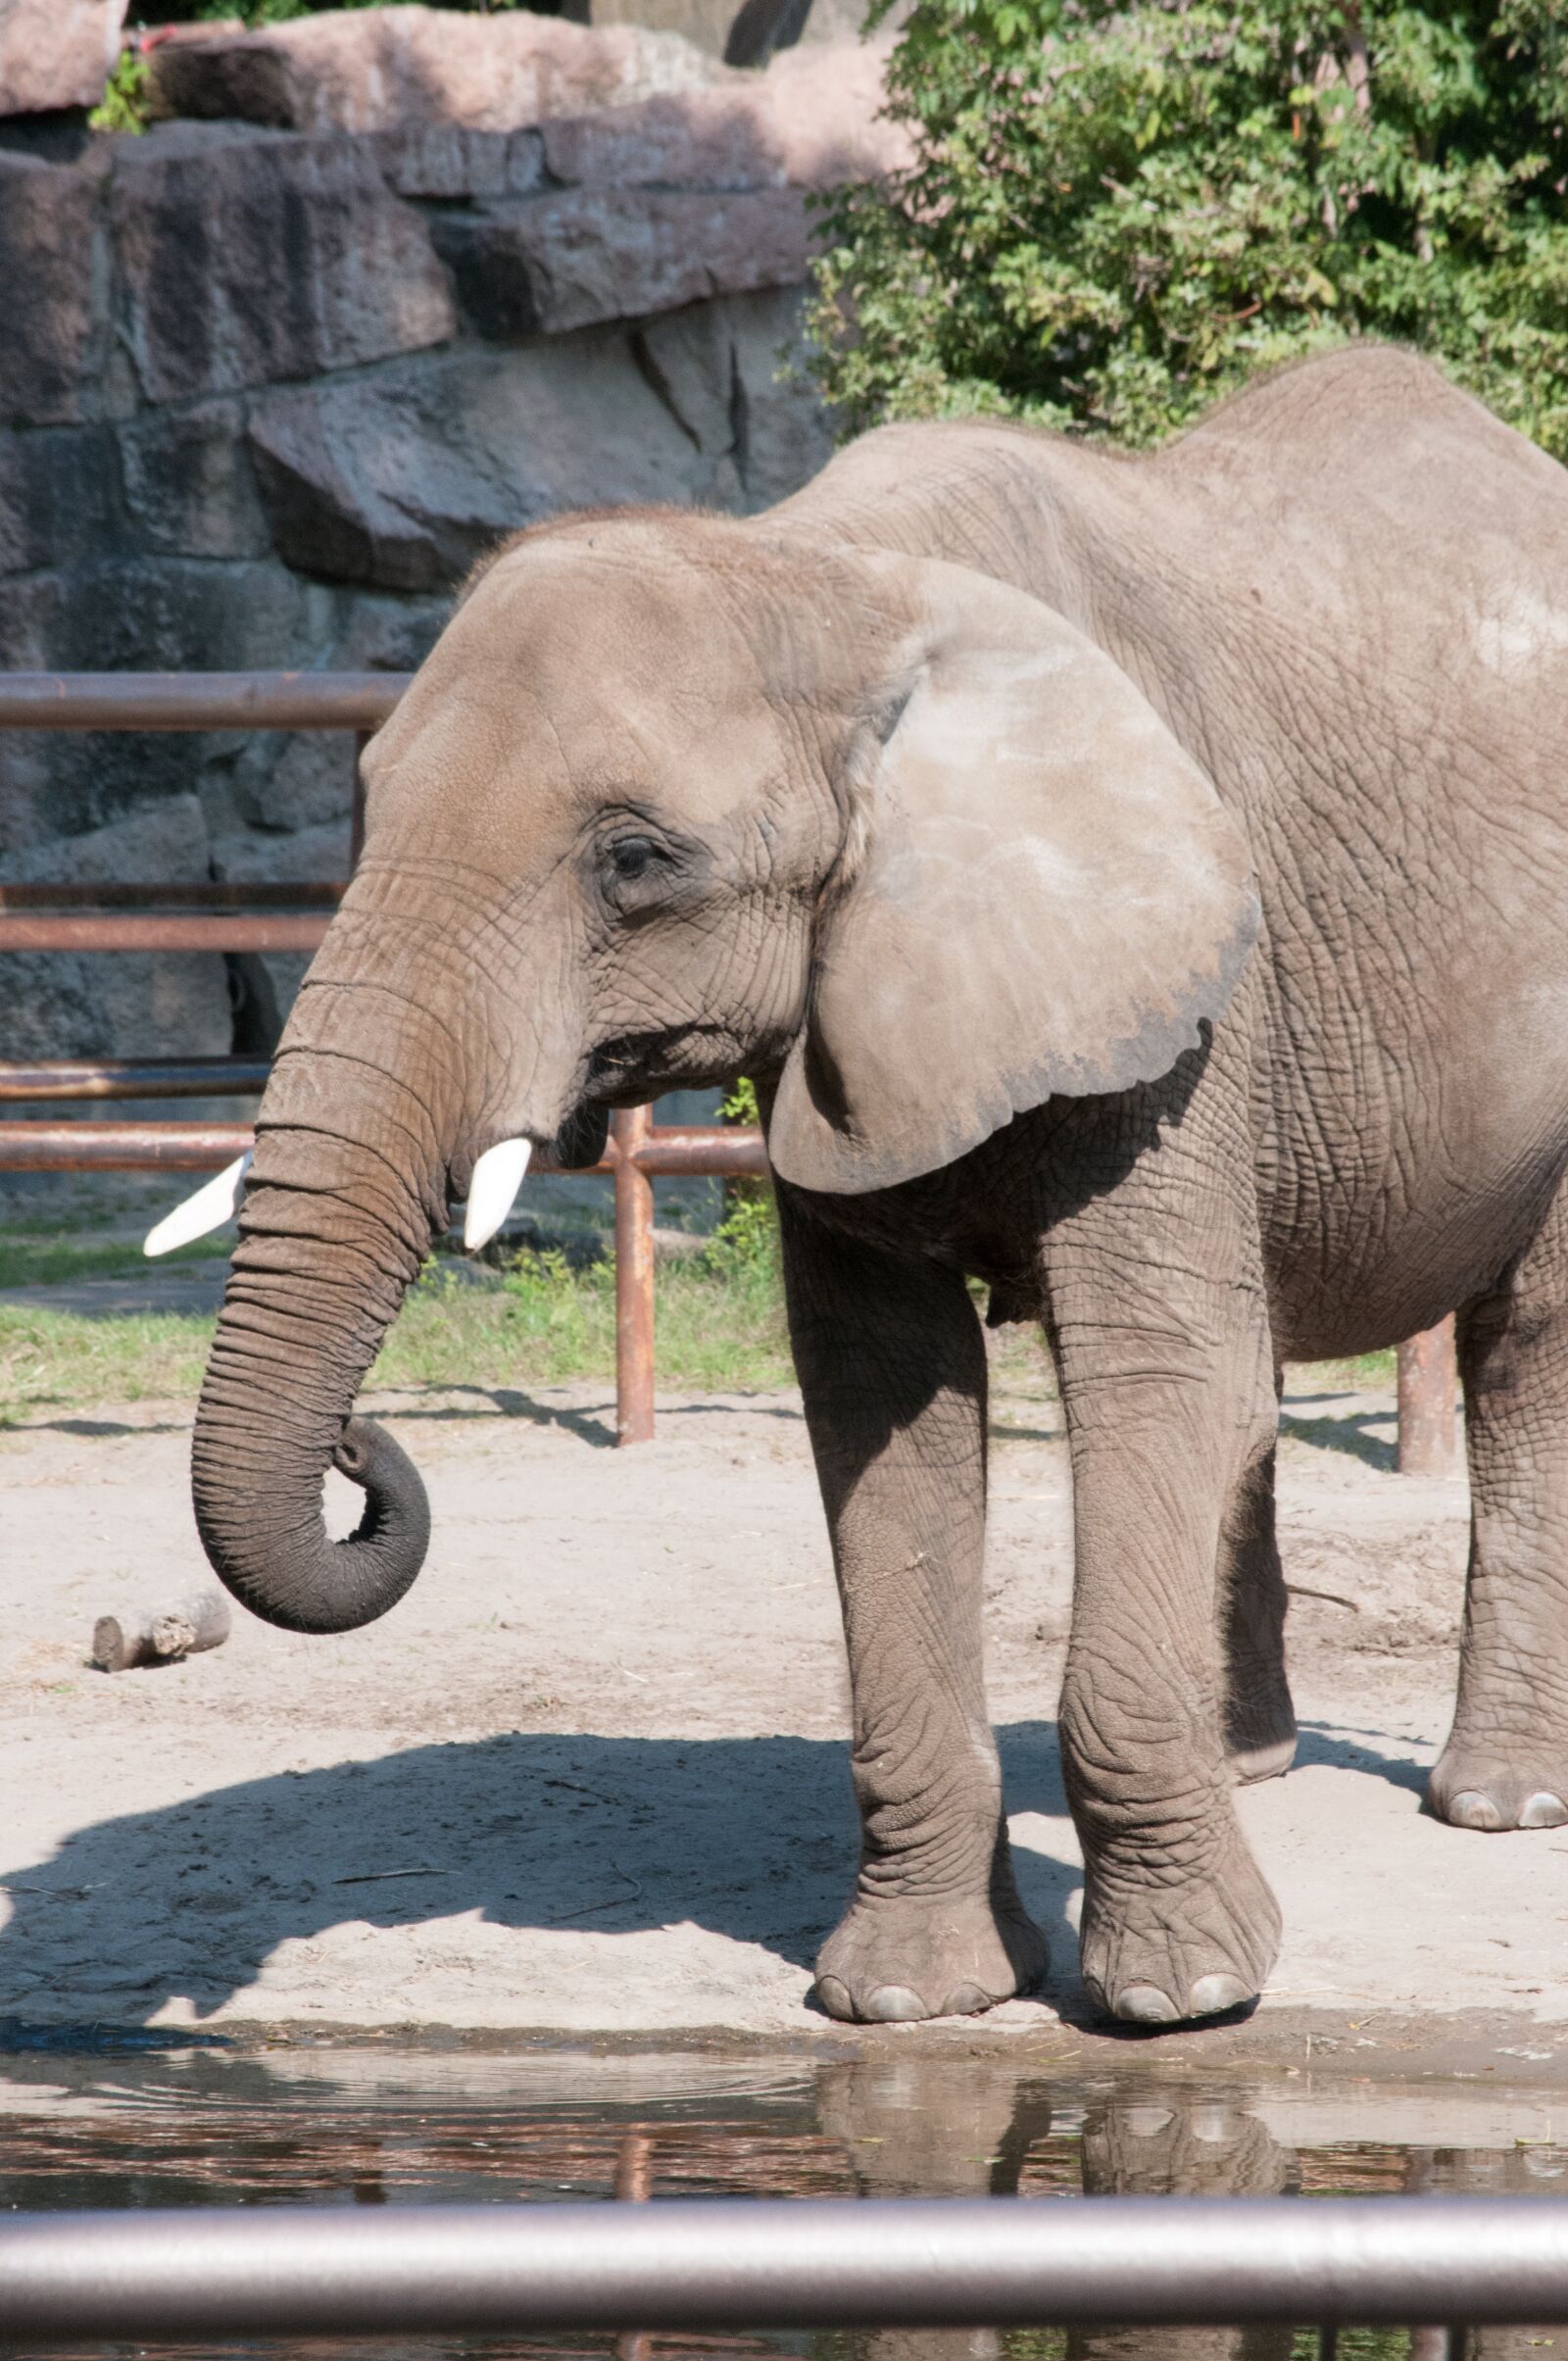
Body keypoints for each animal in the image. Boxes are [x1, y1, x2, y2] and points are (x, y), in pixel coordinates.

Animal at [161, 341, 1568, 2028]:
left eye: (634, 860)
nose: (361, 1448)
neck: (819, 572)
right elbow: (889, 1405)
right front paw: (910, 2001)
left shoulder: (1177, 994)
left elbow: (1157, 1376)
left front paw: (1183, 2000)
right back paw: (1256, 1768)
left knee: (1523, 1348)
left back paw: (1501, 1803)